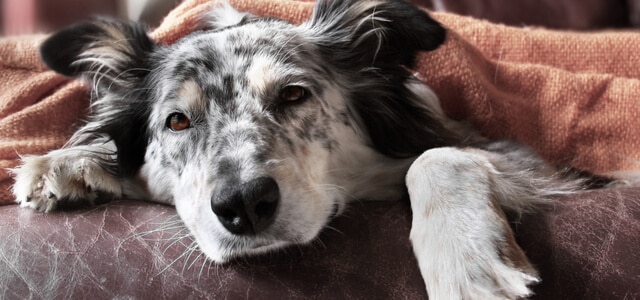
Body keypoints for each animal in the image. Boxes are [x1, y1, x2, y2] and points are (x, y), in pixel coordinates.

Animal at [8, 1, 632, 298]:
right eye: (178, 121)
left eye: (293, 94)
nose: (243, 206)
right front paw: (67, 163)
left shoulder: (522, 156)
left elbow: (435, 157)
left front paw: (467, 263)